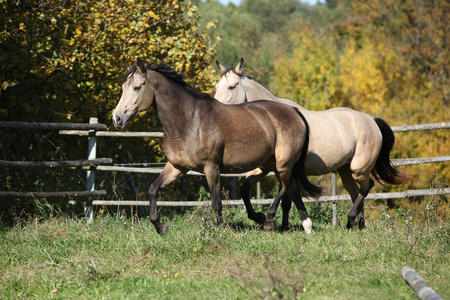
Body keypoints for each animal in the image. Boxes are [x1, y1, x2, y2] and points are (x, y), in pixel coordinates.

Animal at [112, 59, 324, 236]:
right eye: (122, 87)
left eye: (137, 87)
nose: (117, 118)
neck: (190, 121)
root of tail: (295, 112)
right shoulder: (177, 167)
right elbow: (152, 189)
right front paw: (160, 226)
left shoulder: (211, 167)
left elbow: (216, 202)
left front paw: (221, 229)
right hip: (271, 165)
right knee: (290, 188)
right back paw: (302, 225)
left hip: (283, 163)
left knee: (286, 186)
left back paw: (270, 220)